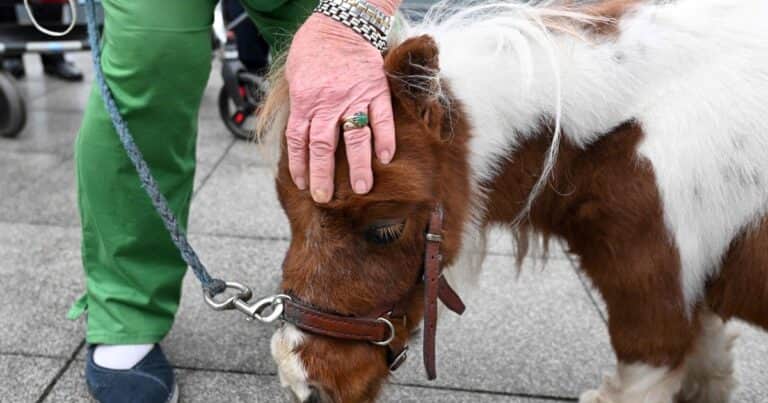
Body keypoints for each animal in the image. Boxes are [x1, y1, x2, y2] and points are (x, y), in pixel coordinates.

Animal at [258, 0, 768, 401]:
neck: (633, 131)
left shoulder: (653, 311)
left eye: (385, 227)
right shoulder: (693, 301)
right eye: (286, 211)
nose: (303, 385)